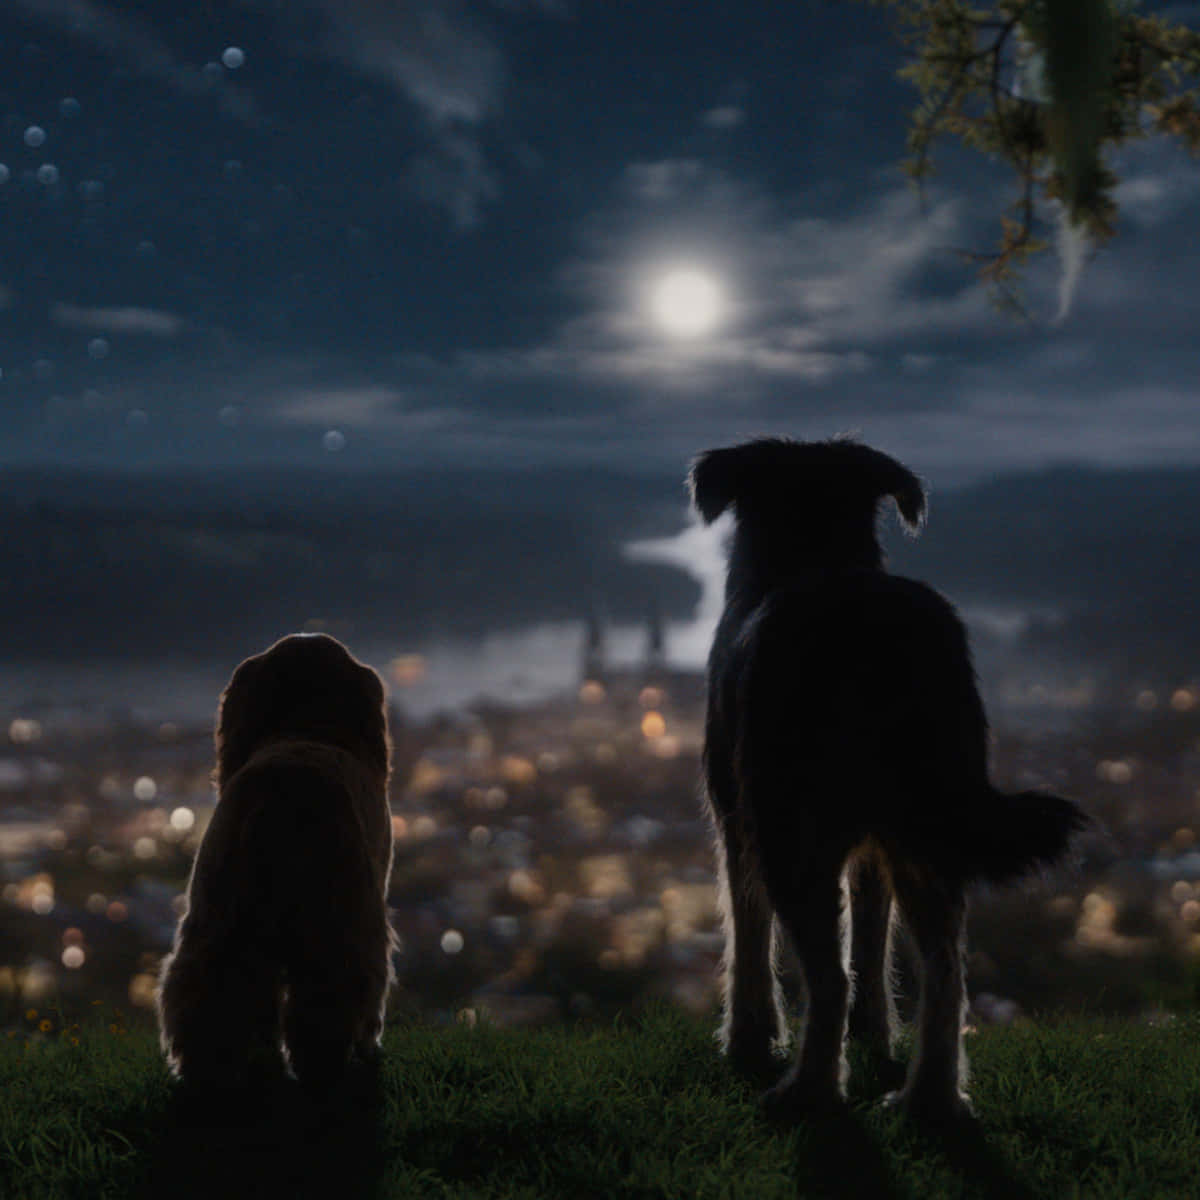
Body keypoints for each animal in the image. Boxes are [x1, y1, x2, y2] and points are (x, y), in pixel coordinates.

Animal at [156, 633, 393, 1094]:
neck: (305, 726)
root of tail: (281, 795)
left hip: (217, 918)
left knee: (209, 994)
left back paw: (207, 1071)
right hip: (338, 920)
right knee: (332, 996)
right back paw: (330, 1066)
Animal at [691, 441, 1094, 1123]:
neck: (814, 551)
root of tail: (878, 631)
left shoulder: (737, 825)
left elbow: (749, 933)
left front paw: (749, 1041)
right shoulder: (875, 851)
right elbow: (873, 943)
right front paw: (874, 1033)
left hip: (792, 830)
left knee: (828, 978)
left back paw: (809, 1092)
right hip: (932, 827)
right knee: (946, 969)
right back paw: (929, 1096)